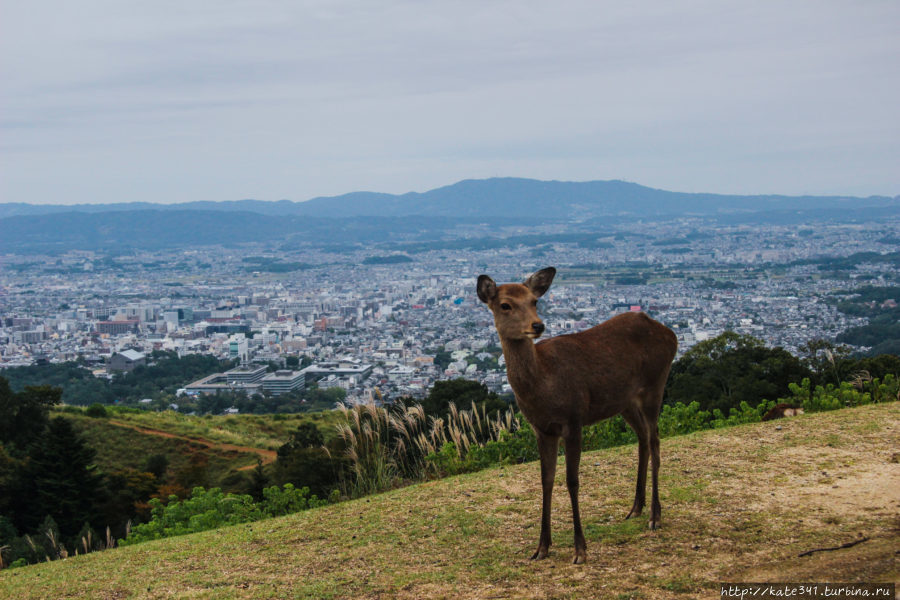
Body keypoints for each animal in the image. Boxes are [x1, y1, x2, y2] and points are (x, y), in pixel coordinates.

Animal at [478, 268, 676, 564]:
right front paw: (541, 548)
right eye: (505, 305)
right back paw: (635, 508)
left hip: (656, 383)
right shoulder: (542, 429)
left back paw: (655, 515)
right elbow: (546, 480)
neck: (544, 383)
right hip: (625, 401)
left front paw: (580, 549)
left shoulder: (573, 419)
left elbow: (572, 481)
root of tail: (671, 334)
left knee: (655, 441)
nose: (537, 326)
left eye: (534, 301)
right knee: (642, 437)